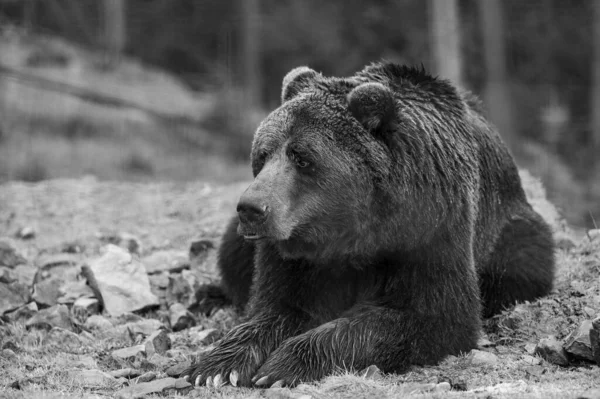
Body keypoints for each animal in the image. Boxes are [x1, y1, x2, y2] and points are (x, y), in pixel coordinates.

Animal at [180, 62, 556, 388]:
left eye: (302, 157)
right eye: (262, 153)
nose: (251, 208)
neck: (353, 232)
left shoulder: (429, 228)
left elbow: (430, 315)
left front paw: (283, 365)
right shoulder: (296, 252)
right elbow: (278, 306)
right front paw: (217, 366)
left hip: (509, 229)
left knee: (522, 262)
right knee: (232, 254)